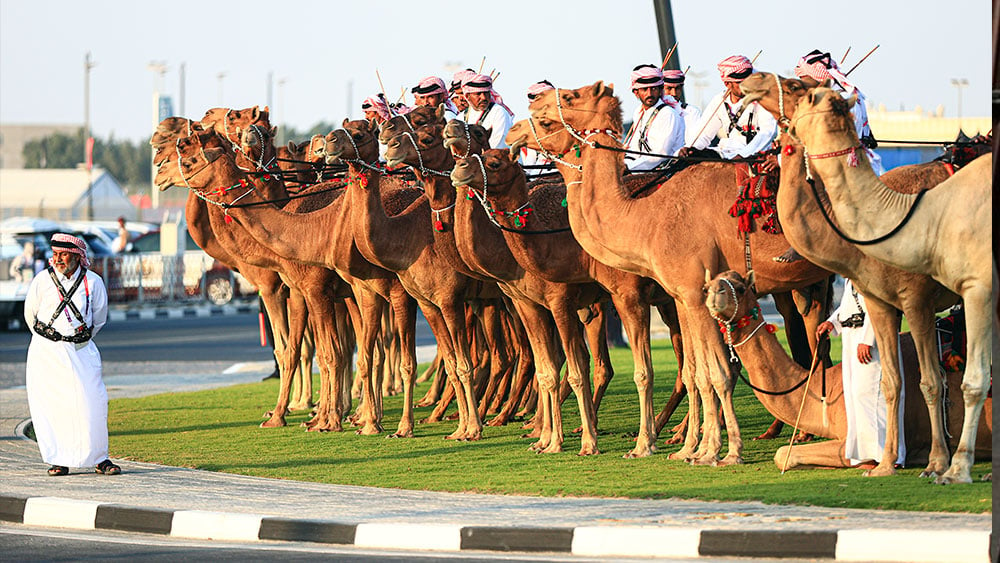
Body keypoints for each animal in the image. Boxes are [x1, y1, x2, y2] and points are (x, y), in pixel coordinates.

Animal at [528, 80, 832, 468]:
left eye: (568, 97)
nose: (532, 104)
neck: (648, 216)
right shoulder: (684, 295)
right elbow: (697, 373)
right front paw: (693, 449)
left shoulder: (687, 293)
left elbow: (715, 373)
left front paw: (720, 451)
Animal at [704, 270, 992, 474]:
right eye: (707, 286)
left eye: (741, 288)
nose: (715, 293)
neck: (827, 390)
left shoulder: (848, 440)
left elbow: (783, 453)